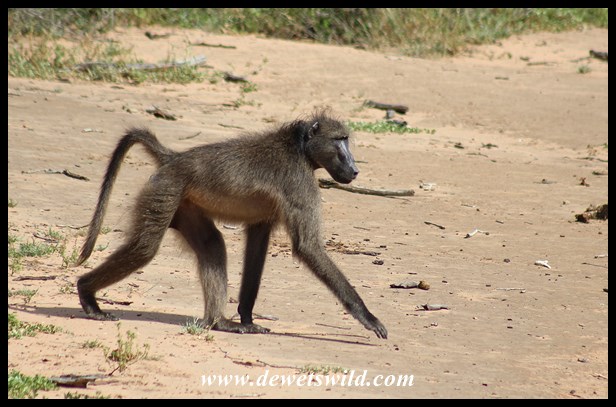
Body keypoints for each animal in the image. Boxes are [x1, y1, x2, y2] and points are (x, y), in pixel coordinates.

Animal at [76, 110, 388, 339]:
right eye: (340, 140)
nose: (354, 170)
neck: (299, 149)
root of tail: (173, 157)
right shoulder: (299, 183)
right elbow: (307, 246)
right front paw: (368, 317)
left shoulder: (266, 217)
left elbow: (257, 248)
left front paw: (247, 317)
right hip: (165, 190)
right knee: (144, 248)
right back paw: (87, 293)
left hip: (185, 205)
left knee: (212, 245)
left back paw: (220, 321)